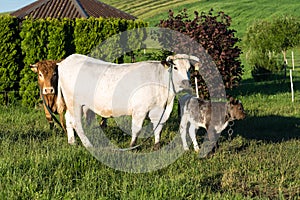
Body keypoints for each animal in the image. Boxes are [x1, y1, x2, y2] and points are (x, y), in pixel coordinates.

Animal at [57, 54, 198, 149]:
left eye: (189, 69)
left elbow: (158, 127)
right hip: (74, 103)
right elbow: (137, 129)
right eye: (175, 67)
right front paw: (132, 146)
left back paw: (72, 141)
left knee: (68, 119)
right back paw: (88, 145)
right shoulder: (140, 110)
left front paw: (157, 144)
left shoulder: (160, 110)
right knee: (76, 123)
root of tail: (68, 60)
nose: (186, 84)